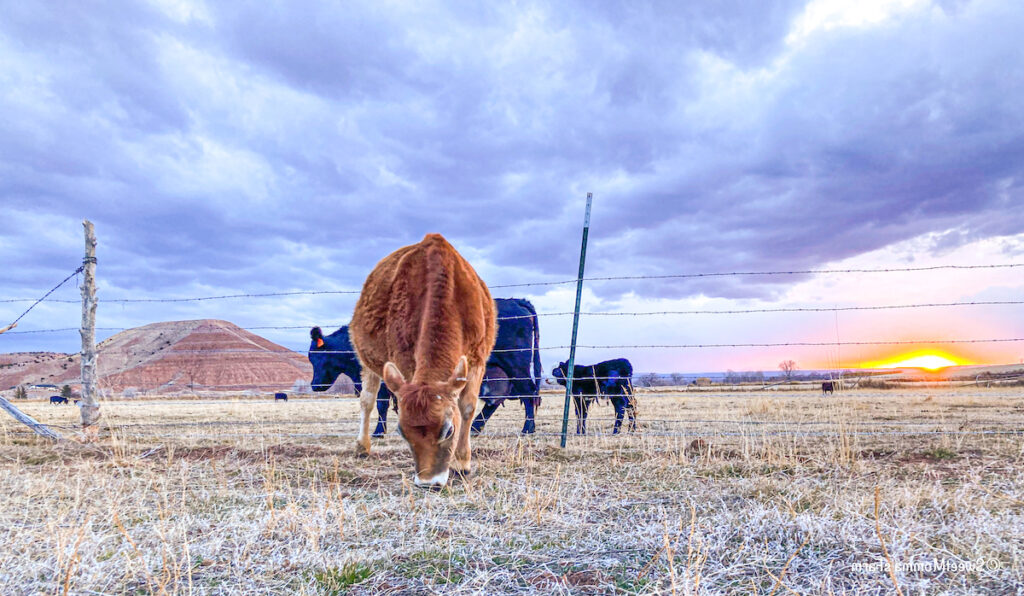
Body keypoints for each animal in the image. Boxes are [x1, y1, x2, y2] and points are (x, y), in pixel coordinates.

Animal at [309, 297, 541, 437]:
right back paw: (475, 428)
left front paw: (378, 431)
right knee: (496, 400)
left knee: (528, 392)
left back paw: (528, 428)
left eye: (315, 356)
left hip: (516, 364)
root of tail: (517, 301)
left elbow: (382, 405)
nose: (313, 386)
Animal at [349, 233, 496, 490]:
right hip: (368, 360)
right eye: (402, 431)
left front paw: (462, 463)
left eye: (448, 430)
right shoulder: (404, 361)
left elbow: (467, 407)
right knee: (366, 400)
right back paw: (362, 446)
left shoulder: (478, 359)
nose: (428, 482)